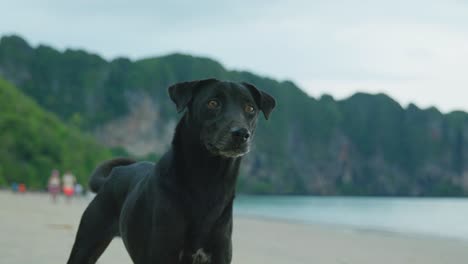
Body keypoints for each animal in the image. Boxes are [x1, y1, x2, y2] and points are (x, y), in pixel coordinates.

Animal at [67, 79, 276, 264]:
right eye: (213, 103)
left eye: (250, 108)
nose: (241, 134)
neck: (208, 180)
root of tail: (114, 174)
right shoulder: (162, 255)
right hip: (86, 243)